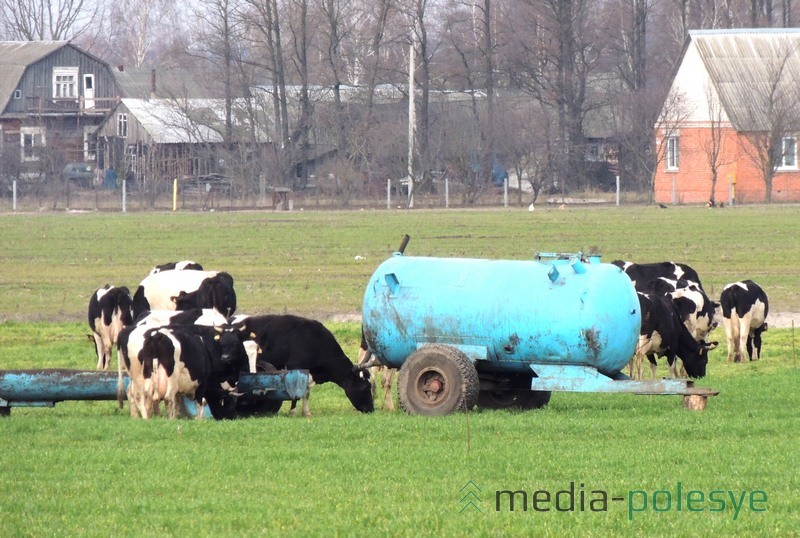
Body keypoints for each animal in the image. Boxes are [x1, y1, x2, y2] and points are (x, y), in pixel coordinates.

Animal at [231, 314, 376, 414]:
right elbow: (296, 392)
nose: (371, 409)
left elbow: (306, 392)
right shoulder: (295, 368)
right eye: (365, 387)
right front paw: (292, 412)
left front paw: (306, 412)